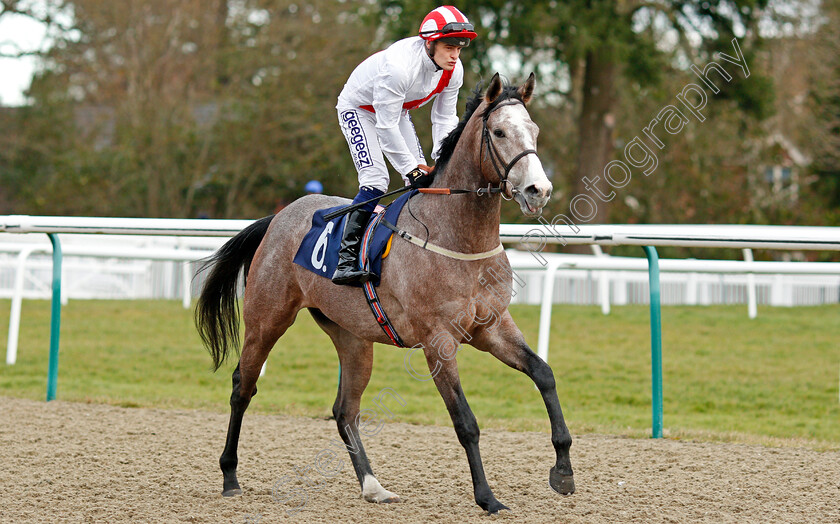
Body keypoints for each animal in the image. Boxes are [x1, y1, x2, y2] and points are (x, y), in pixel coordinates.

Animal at [195, 71, 576, 512]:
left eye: (534, 131)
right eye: (498, 132)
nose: (538, 190)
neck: (460, 240)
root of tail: (279, 216)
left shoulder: (491, 327)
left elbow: (544, 374)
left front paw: (563, 471)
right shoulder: (438, 341)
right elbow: (465, 422)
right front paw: (487, 497)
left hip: (353, 337)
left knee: (345, 410)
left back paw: (372, 485)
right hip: (267, 318)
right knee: (244, 386)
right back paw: (230, 476)